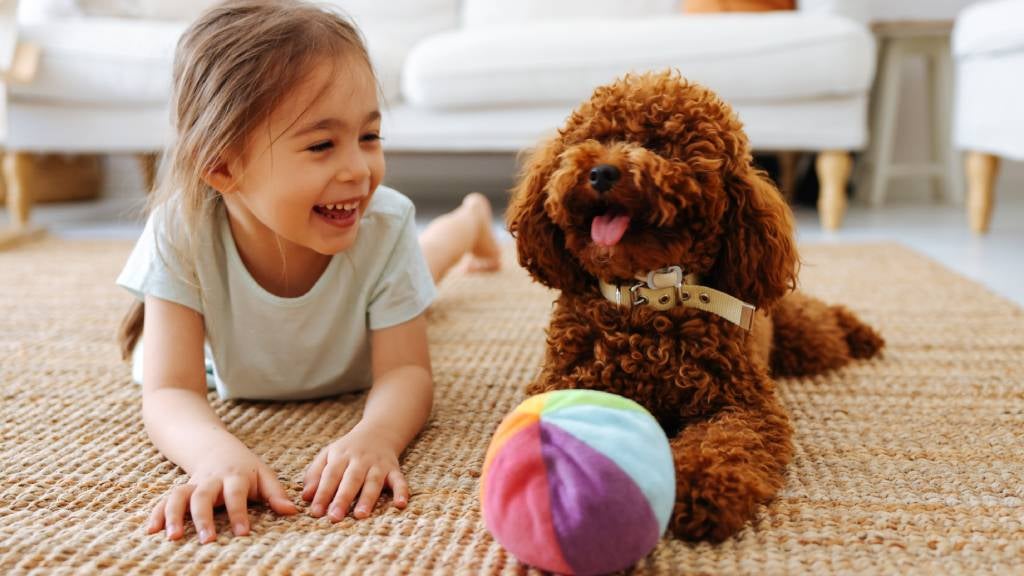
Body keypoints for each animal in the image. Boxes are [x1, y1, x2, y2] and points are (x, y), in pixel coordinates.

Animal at [507, 69, 884, 541]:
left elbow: (722, 445)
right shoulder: (562, 383)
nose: (600, 172)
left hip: (805, 340)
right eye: (595, 138)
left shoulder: (742, 404)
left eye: (661, 146)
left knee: (824, 321)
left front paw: (700, 489)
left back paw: (861, 333)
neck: (646, 299)